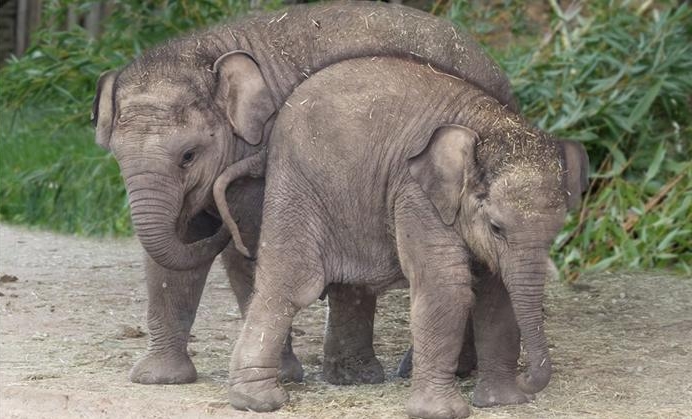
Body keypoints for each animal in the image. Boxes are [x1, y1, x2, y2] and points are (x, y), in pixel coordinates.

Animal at [90, 1, 520, 388]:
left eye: (188, 155)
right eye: (117, 155)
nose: (222, 224)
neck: (207, 51)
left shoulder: (262, 153)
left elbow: (253, 247)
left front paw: (282, 375)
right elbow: (173, 259)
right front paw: (158, 379)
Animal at [222, 56, 588, 419]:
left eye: (556, 232)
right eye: (496, 227)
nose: (528, 380)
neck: (487, 124)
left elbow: (497, 292)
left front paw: (502, 402)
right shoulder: (417, 195)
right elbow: (447, 287)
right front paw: (441, 413)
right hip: (297, 185)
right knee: (293, 282)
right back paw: (258, 401)